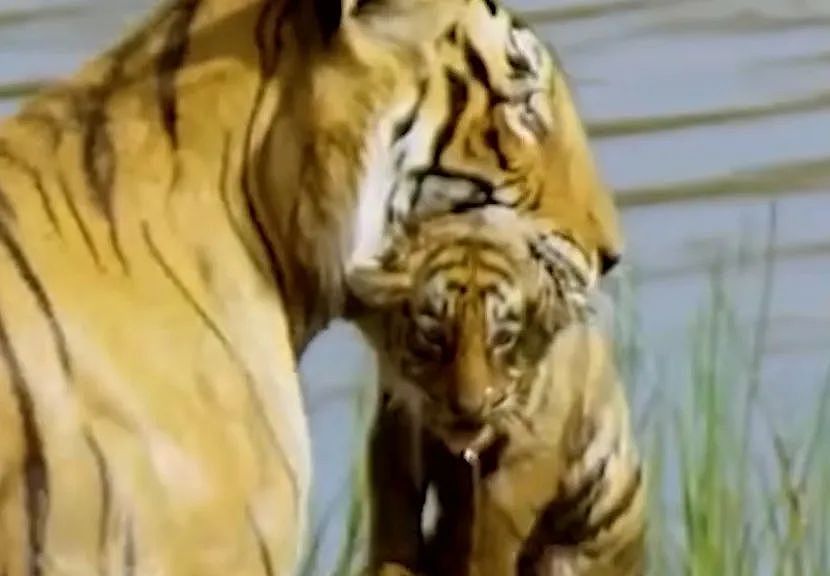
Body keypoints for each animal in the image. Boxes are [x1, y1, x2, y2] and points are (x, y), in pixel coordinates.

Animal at [346, 206, 644, 576]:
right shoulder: (397, 422)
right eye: (434, 337)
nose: (469, 409)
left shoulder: (530, 446)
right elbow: (394, 509)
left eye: (502, 338)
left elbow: (494, 530)